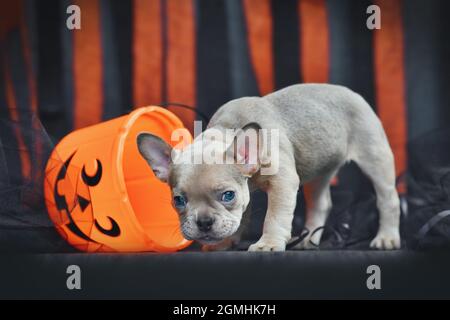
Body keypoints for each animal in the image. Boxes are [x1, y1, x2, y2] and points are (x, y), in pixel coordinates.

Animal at [137, 84, 400, 251]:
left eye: (227, 195)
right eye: (178, 200)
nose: (204, 223)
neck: (226, 131)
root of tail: (351, 92)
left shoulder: (282, 182)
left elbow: (274, 216)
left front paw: (269, 243)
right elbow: (241, 217)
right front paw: (224, 243)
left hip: (375, 156)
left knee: (388, 200)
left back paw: (386, 237)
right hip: (318, 170)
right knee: (321, 203)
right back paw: (309, 240)